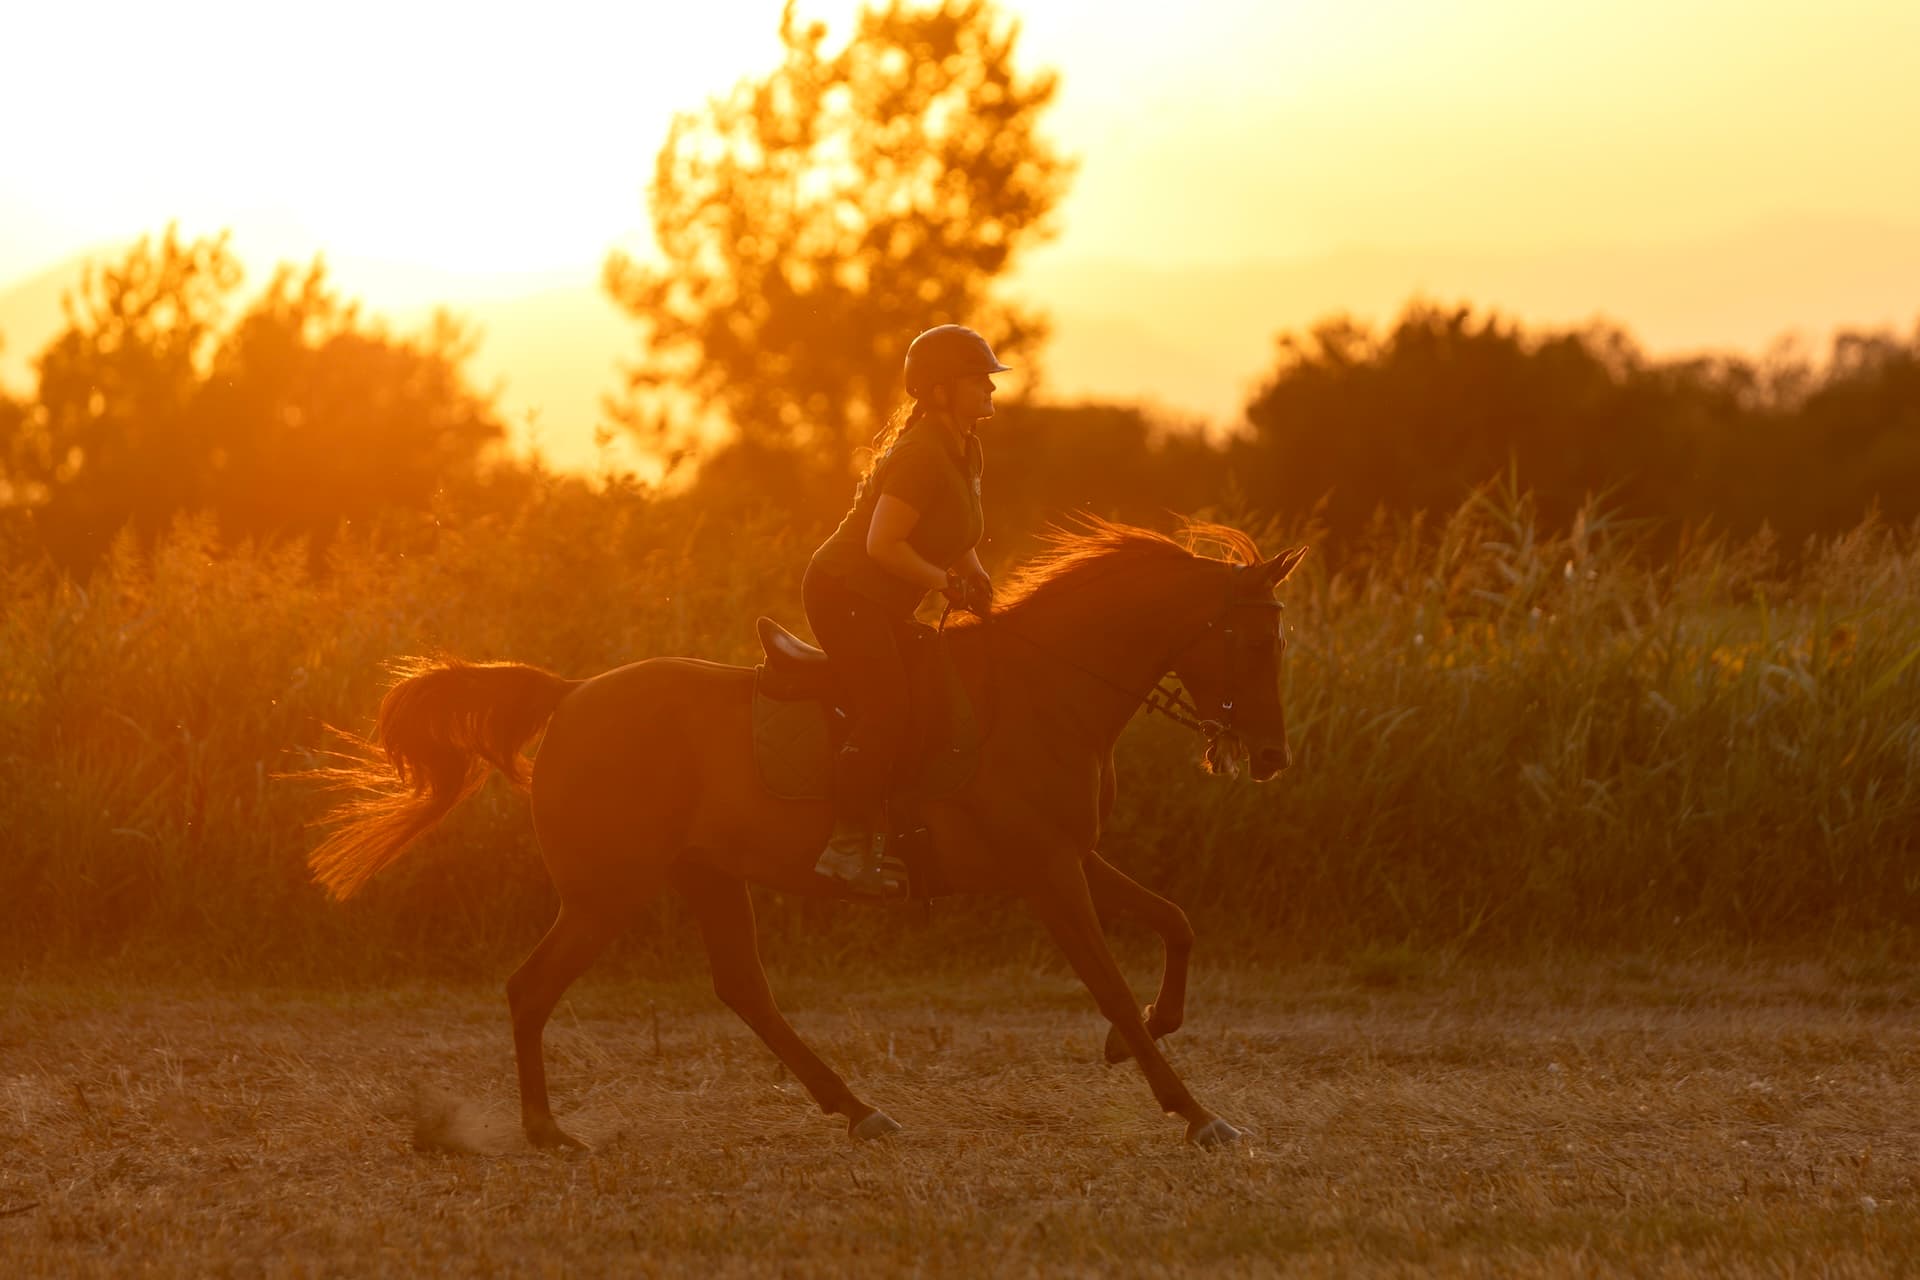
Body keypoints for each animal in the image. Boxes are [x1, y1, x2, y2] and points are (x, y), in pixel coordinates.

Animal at [306, 518, 1307, 1149]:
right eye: (1257, 643)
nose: (1269, 759)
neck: (1043, 690)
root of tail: (573, 694)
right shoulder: (1049, 873)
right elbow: (1111, 986)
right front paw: (1198, 1114)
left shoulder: (1068, 856)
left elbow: (1176, 924)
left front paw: (1144, 1039)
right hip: (605, 895)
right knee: (530, 990)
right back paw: (550, 1133)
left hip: (706, 876)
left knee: (744, 992)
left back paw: (860, 1111)